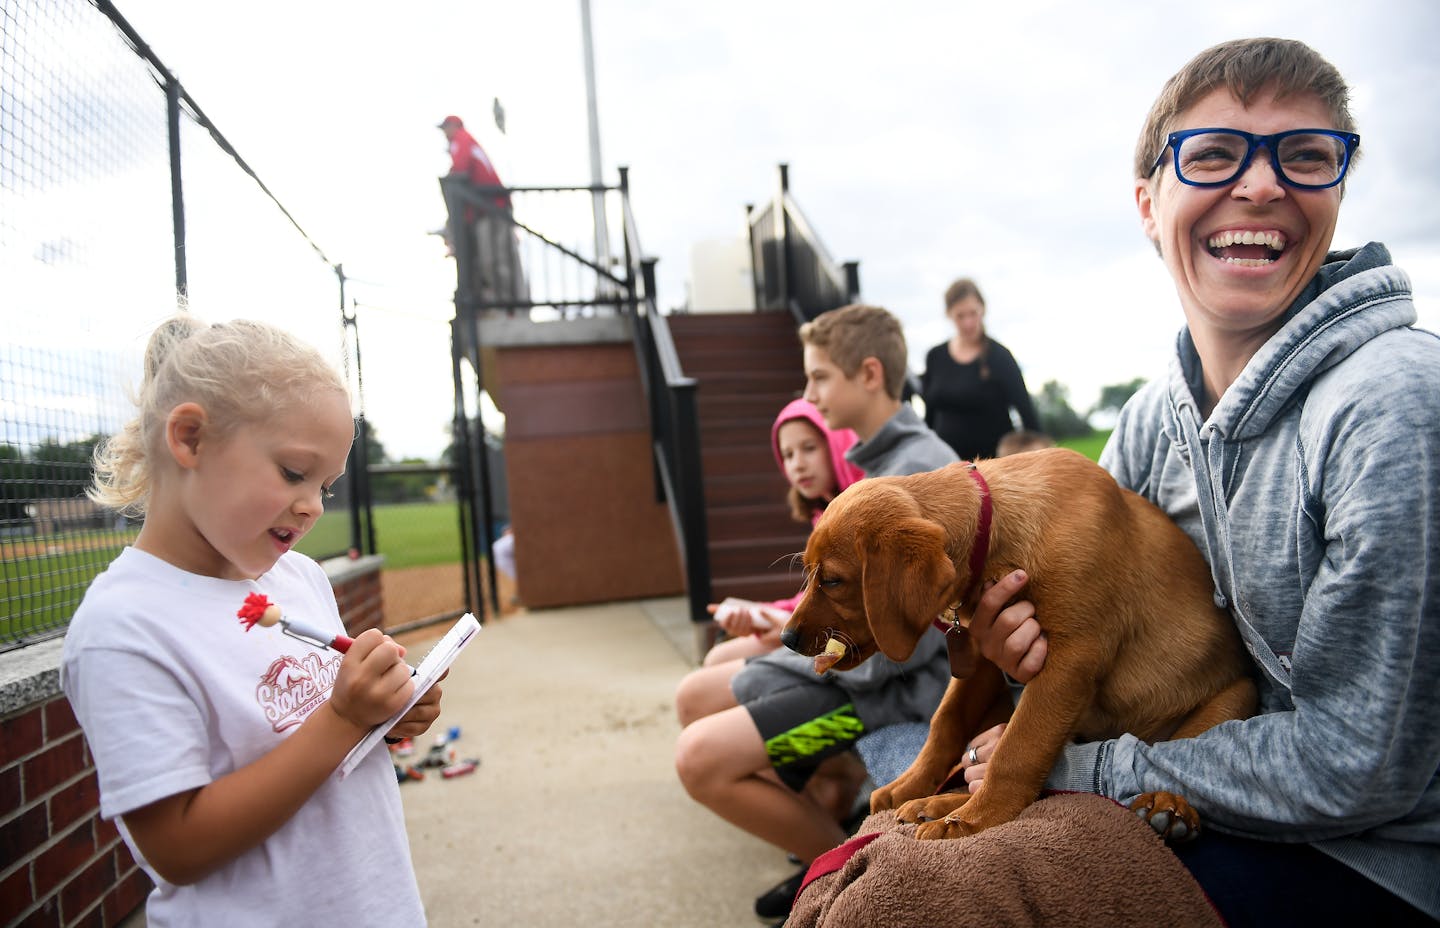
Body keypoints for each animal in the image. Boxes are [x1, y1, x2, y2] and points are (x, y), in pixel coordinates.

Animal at [783, 449, 1255, 841]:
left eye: (832, 580)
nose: (787, 638)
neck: (997, 536)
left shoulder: (1071, 658)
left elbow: (1018, 748)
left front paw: (974, 821)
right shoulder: (984, 654)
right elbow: (945, 722)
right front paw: (911, 785)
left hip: (1231, 700)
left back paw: (1167, 807)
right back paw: (934, 803)